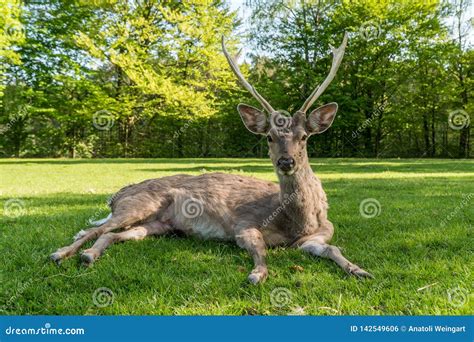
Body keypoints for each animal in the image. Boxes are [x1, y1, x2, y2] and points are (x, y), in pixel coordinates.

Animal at [50, 32, 372, 284]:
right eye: (269, 137)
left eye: (304, 137)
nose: (286, 162)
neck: (298, 223)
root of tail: (115, 197)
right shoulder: (245, 224)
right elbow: (260, 249)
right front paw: (256, 274)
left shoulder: (320, 234)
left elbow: (333, 249)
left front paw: (359, 270)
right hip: (138, 204)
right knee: (95, 229)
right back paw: (61, 253)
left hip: (159, 225)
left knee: (113, 235)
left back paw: (88, 256)